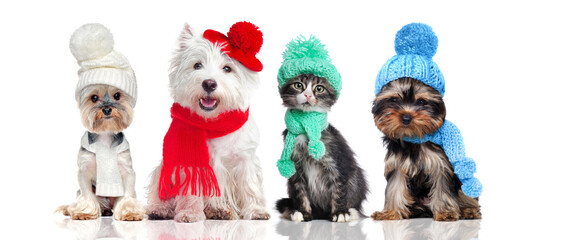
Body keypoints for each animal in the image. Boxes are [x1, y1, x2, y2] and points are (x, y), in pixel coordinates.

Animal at [55, 23, 143, 220]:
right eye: (94, 98)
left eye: (117, 95)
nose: (107, 109)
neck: (105, 134)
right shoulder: (85, 169)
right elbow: (86, 193)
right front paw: (84, 211)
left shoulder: (126, 169)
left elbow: (128, 193)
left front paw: (130, 212)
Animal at [145, 21, 270, 222]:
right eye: (197, 65)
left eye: (227, 68)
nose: (209, 84)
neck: (213, 122)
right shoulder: (191, 164)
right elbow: (191, 191)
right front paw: (189, 213)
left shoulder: (245, 159)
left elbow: (250, 186)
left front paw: (256, 211)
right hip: (163, 170)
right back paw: (161, 210)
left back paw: (220, 211)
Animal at [276, 73, 368, 223]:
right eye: (298, 85)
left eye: (319, 88)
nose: (308, 95)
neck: (306, 128)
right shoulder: (296, 171)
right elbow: (301, 194)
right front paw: (303, 213)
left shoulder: (339, 164)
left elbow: (339, 190)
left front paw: (340, 213)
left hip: (357, 177)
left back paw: (352, 212)